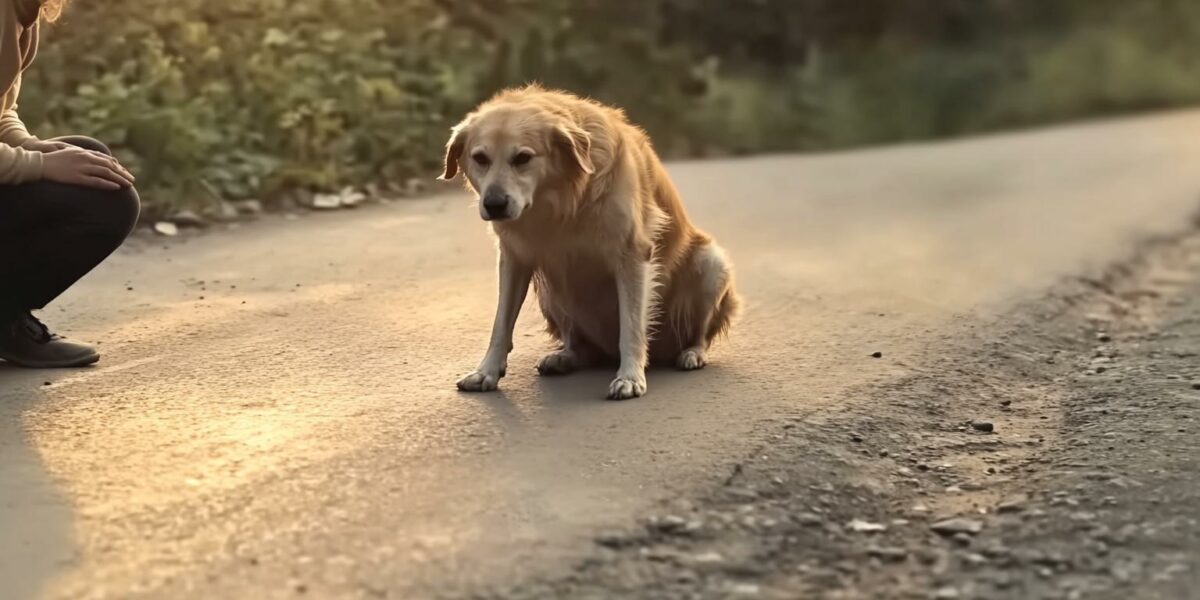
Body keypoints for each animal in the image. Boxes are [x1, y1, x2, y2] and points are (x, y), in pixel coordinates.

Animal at [444, 85, 739, 398]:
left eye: (523, 158)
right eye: (480, 158)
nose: (494, 204)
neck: (561, 199)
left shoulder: (633, 256)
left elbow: (631, 327)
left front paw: (630, 377)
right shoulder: (514, 260)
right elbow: (500, 324)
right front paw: (486, 372)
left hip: (712, 264)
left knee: (698, 334)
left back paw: (692, 353)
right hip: (548, 292)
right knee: (579, 344)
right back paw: (565, 357)